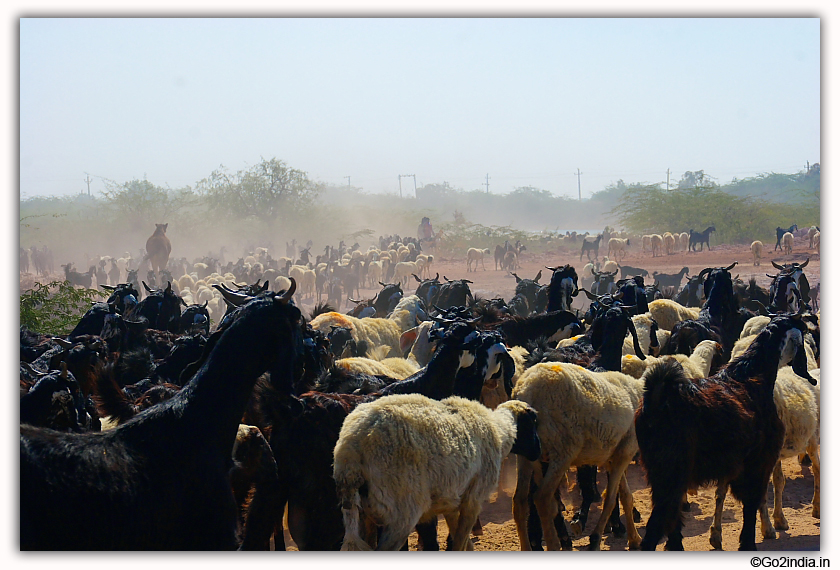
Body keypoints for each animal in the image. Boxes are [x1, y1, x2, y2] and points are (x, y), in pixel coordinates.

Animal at [334, 392, 540, 548]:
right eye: (533, 422)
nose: (537, 451)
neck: (500, 432)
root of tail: (350, 449)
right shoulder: (473, 499)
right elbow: (459, 544)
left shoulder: (452, 501)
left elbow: (465, 544)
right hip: (401, 512)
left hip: (365, 514)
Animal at [512, 362, 644, 548]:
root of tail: (526, 390)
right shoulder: (625, 452)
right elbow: (611, 499)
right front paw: (595, 539)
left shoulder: (613, 458)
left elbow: (626, 496)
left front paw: (634, 538)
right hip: (563, 450)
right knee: (542, 498)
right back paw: (554, 545)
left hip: (527, 454)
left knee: (520, 501)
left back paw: (527, 547)